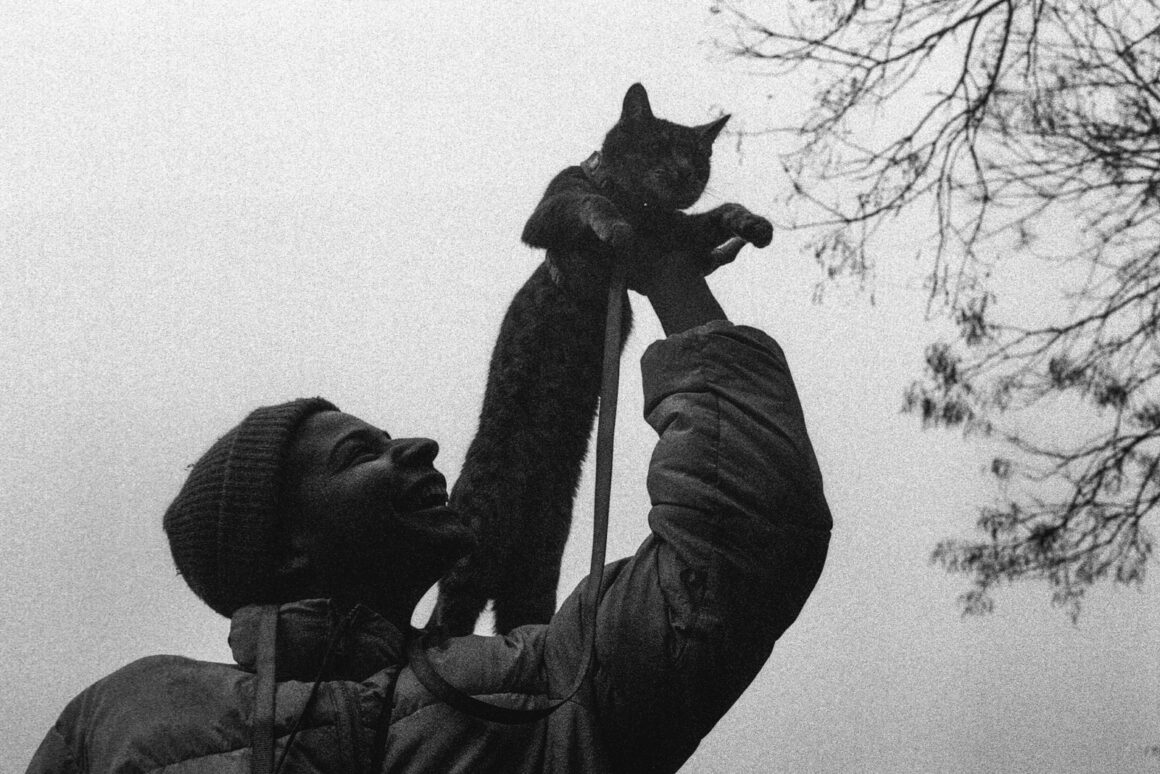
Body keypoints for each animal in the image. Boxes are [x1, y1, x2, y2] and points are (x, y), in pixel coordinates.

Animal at [431, 83, 774, 635]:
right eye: (659, 146)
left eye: (700, 158)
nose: (686, 174)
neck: (644, 207)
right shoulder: (551, 209)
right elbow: (589, 199)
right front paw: (615, 225)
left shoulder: (676, 240)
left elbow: (717, 217)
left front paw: (750, 225)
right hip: (473, 548)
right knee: (443, 620)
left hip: (534, 579)